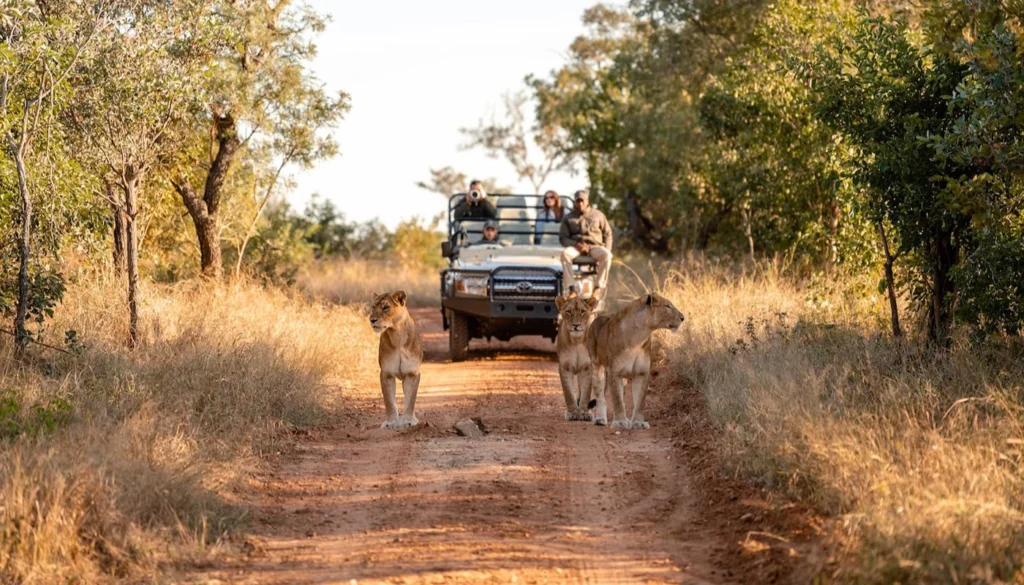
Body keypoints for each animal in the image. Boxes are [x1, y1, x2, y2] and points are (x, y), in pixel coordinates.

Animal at [369, 291, 423, 429]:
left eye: (385, 307)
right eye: (373, 307)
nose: (372, 320)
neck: (397, 334)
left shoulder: (412, 373)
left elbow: (410, 400)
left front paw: (408, 421)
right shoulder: (386, 373)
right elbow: (389, 401)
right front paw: (391, 422)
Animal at [555, 293, 601, 421]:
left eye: (582, 311)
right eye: (569, 311)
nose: (576, 325)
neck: (576, 341)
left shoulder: (587, 368)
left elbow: (586, 392)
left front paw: (584, 412)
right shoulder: (565, 368)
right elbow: (568, 393)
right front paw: (573, 412)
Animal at [586, 293, 685, 429]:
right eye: (667, 306)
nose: (683, 318)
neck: (639, 337)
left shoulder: (641, 373)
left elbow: (639, 400)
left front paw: (638, 422)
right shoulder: (614, 372)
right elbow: (616, 400)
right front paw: (620, 422)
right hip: (597, 367)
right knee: (600, 396)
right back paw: (600, 419)